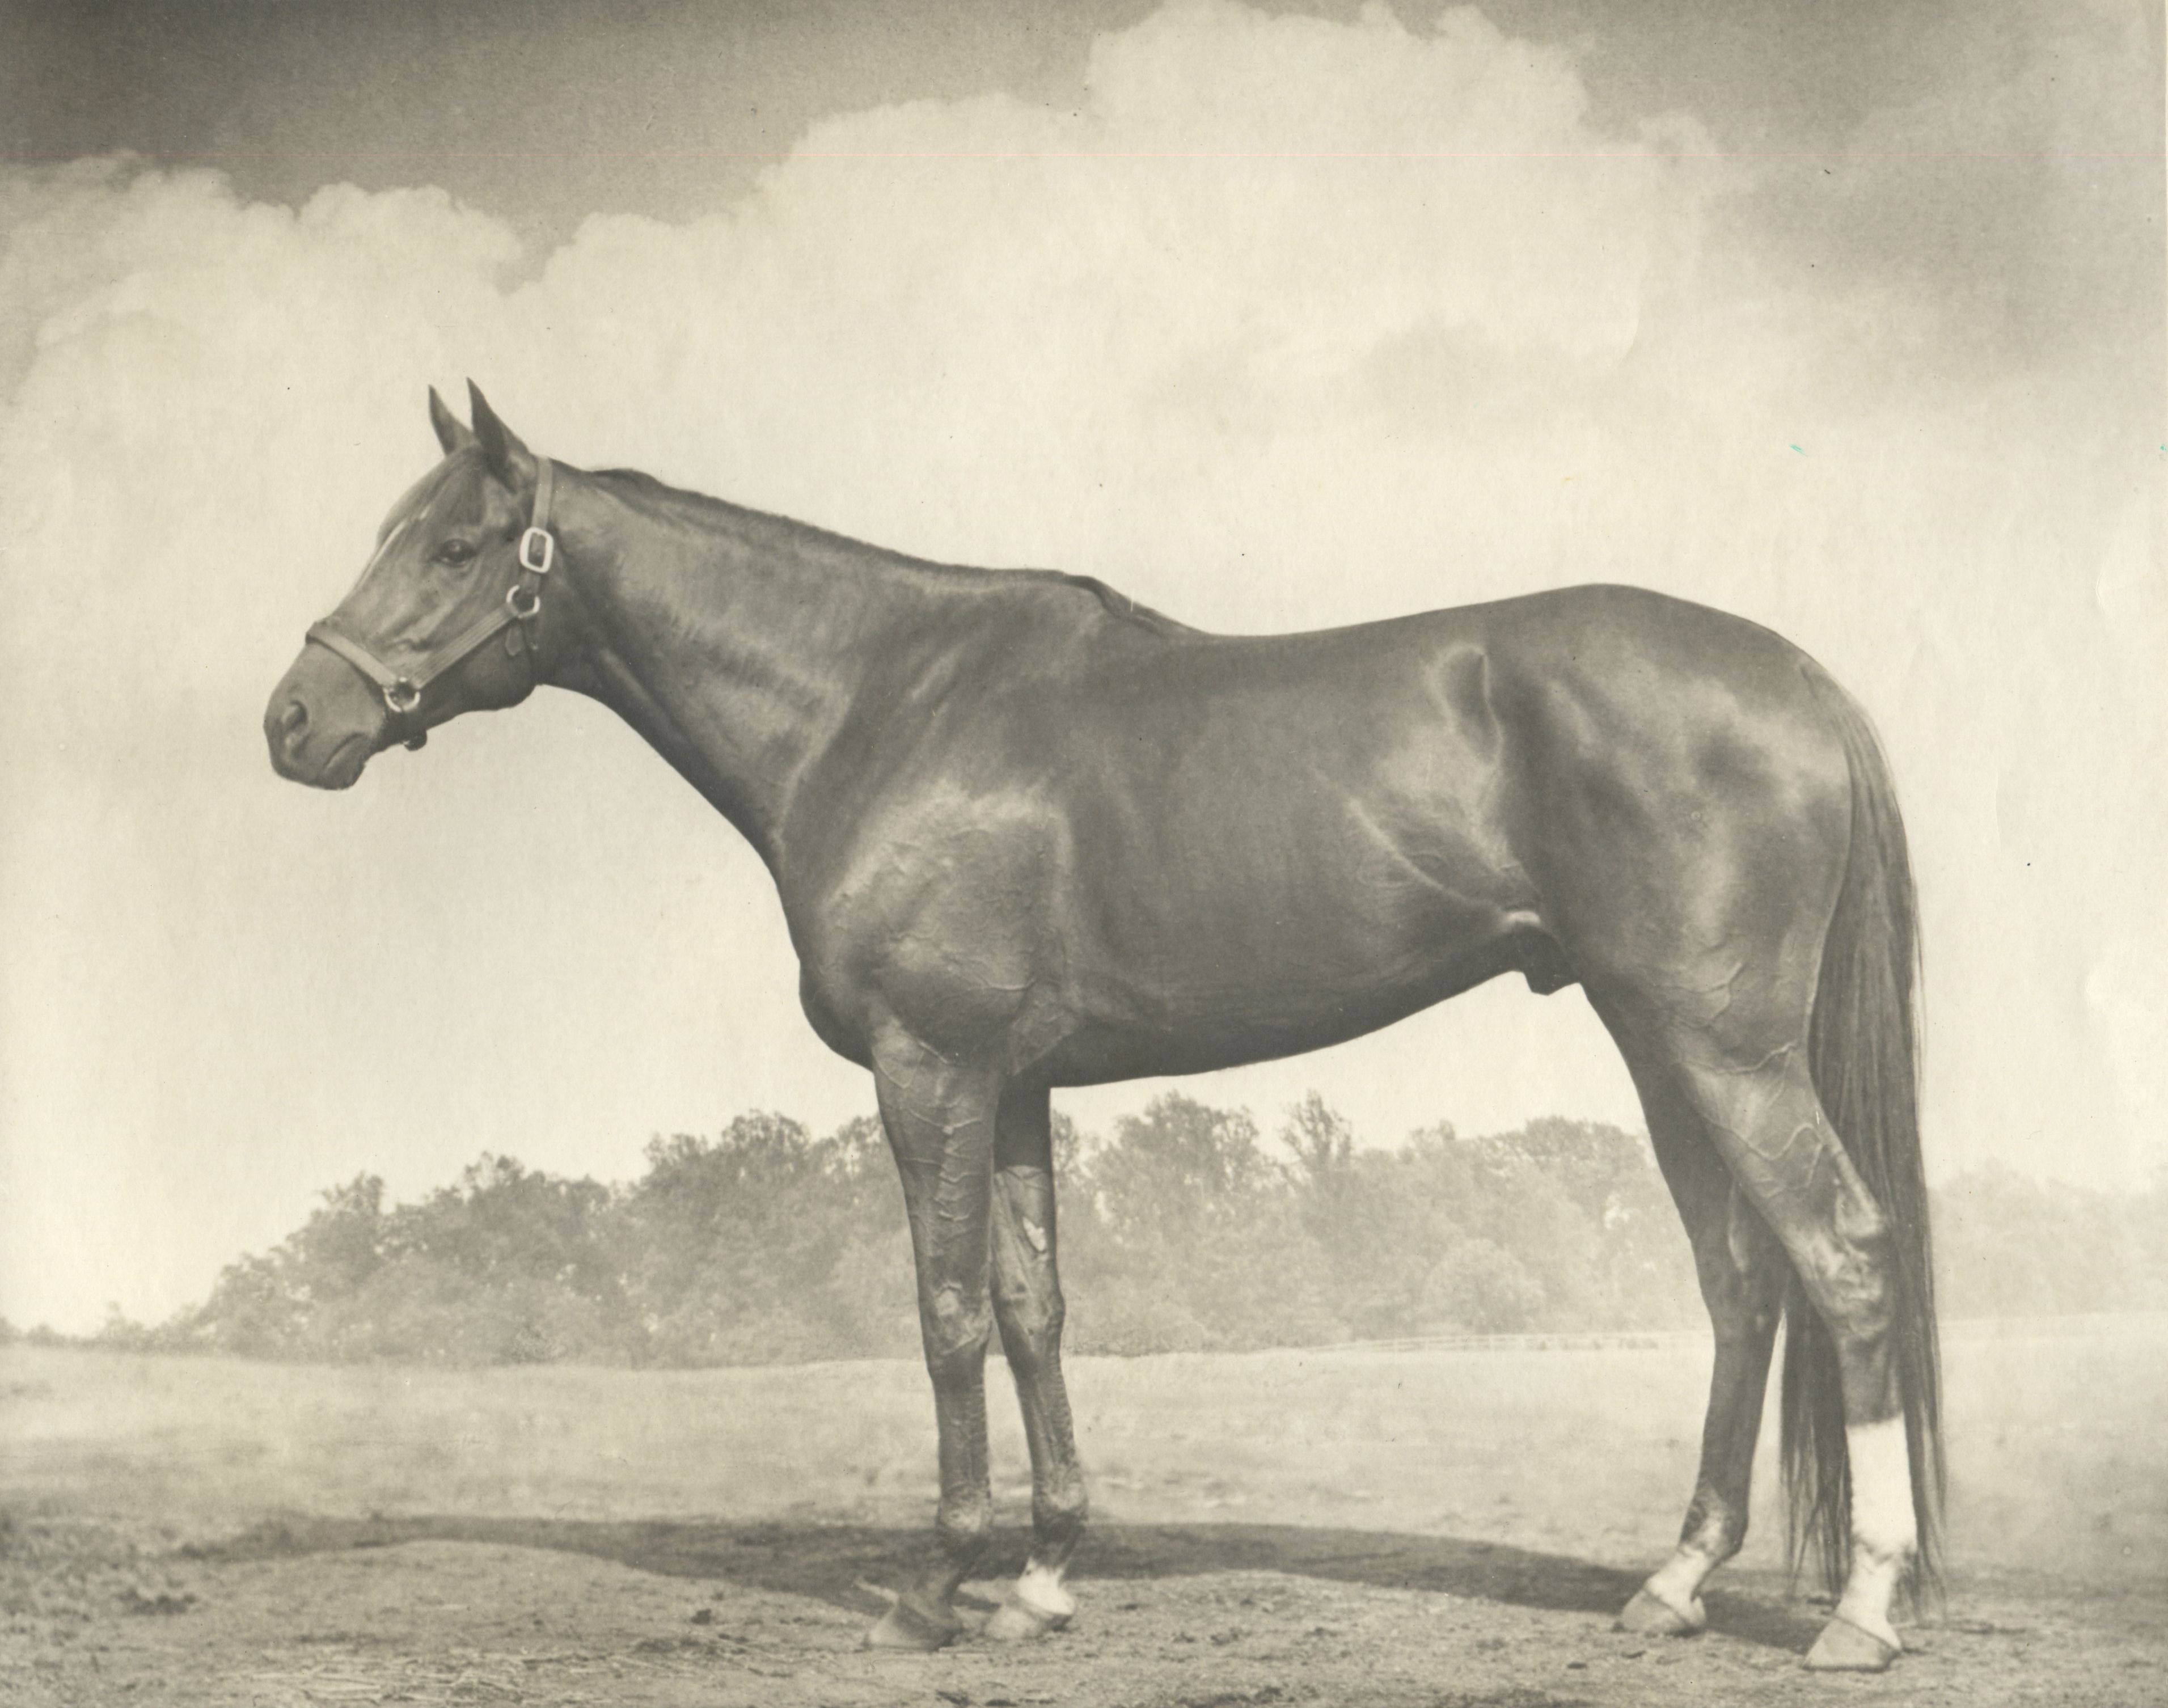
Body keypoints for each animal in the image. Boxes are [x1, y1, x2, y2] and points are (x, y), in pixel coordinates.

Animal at [267, 383, 1951, 1664]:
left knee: (1845, 1257)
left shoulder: (928, 1067)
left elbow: (945, 1312)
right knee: (1742, 1281)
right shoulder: (1011, 1083)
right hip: (1656, 1041)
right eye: (387, 533)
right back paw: (1672, 1582)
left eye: (459, 544)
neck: (883, 704)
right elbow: (1032, 1307)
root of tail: (1800, 682)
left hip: (1722, 1047)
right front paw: (1040, 1576)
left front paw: (940, 1581)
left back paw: (1859, 1611)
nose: (294, 722)